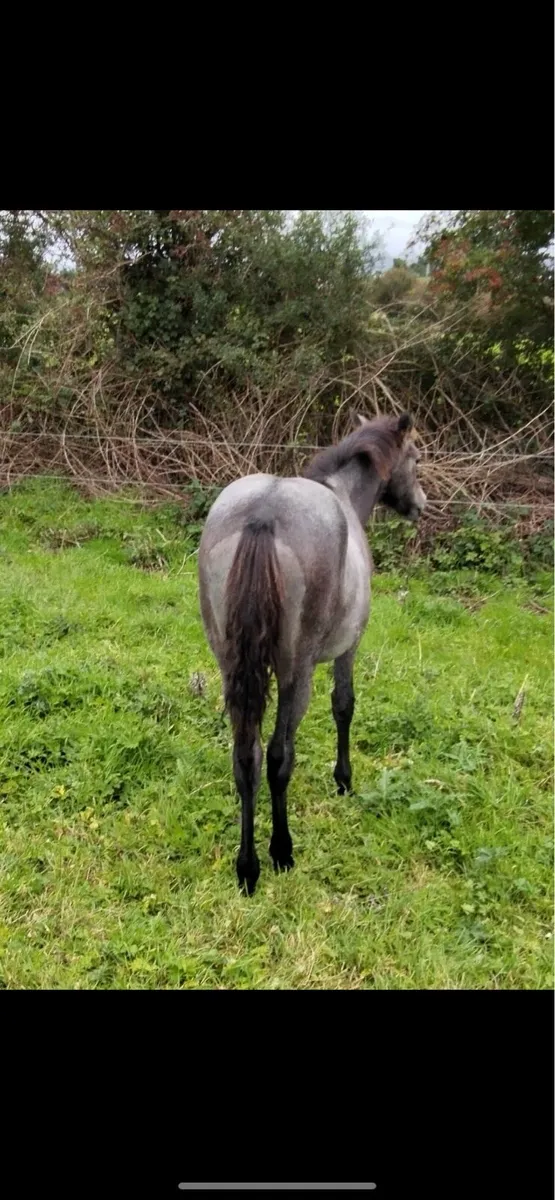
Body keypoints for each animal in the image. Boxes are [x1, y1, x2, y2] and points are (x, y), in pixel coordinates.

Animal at [198, 411, 427, 894]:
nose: (421, 504)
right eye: (416, 457)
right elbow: (344, 705)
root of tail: (264, 513)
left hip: (230, 665)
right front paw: (344, 779)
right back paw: (278, 853)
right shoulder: (349, 648)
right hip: (294, 674)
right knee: (278, 758)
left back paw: (245, 866)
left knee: (245, 757)